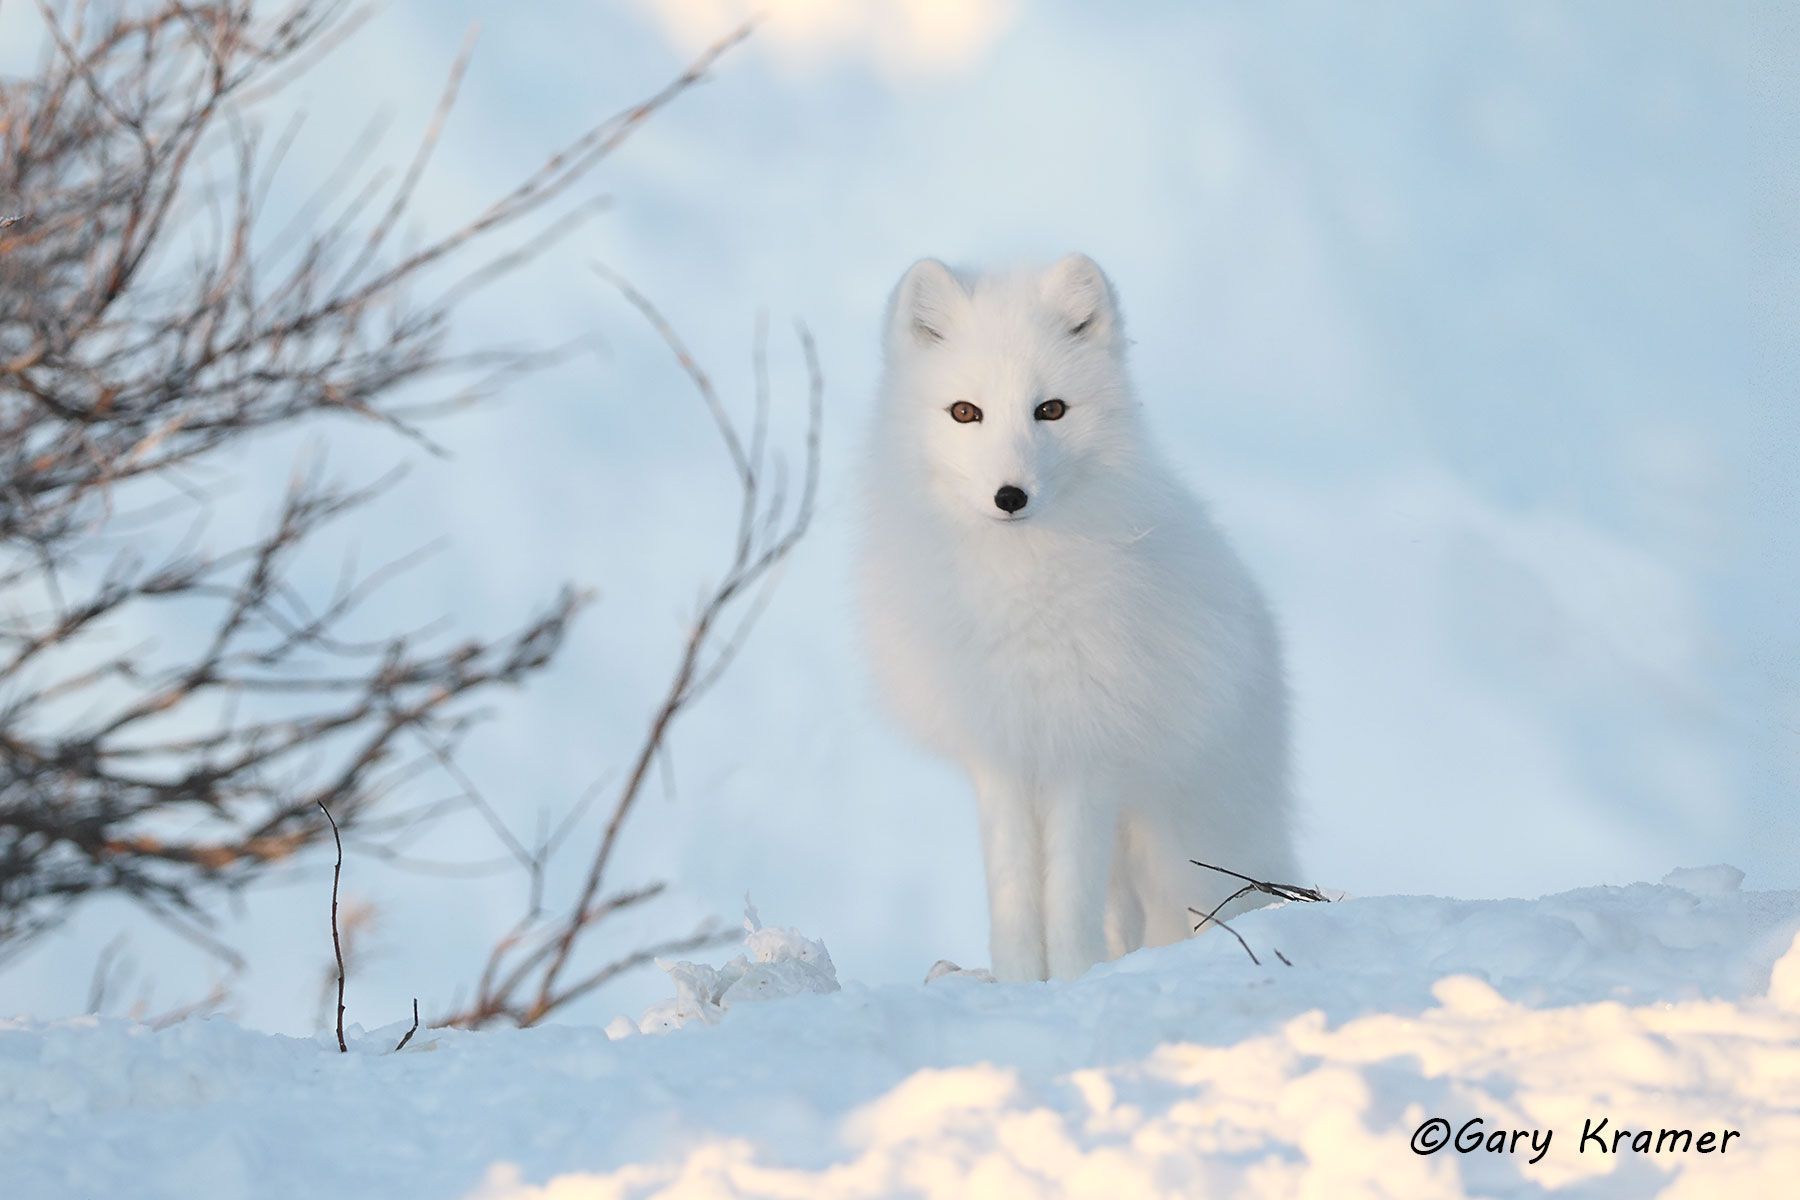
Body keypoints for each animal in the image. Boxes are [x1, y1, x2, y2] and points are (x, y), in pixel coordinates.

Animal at [857, 253, 1299, 983]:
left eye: (1051, 410)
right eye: (965, 412)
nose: (1010, 495)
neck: (1018, 591)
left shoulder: (1084, 753)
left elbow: (1067, 892)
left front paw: (1069, 978)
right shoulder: (1003, 751)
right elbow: (1013, 887)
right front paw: (1018, 980)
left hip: (1183, 843)